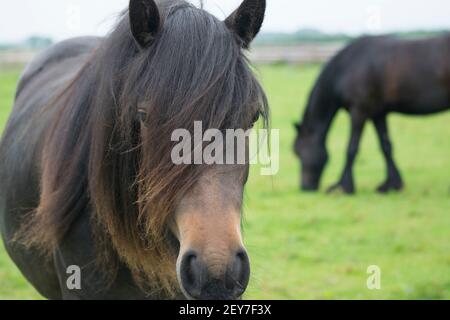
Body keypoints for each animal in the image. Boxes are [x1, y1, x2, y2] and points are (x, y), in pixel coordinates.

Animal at [294, 35, 450, 195]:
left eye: (298, 152)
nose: (305, 187)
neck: (347, 67)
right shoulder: (378, 114)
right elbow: (386, 146)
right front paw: (391, 185)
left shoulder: (359, 112)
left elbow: (351, 148)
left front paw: (344, 186)